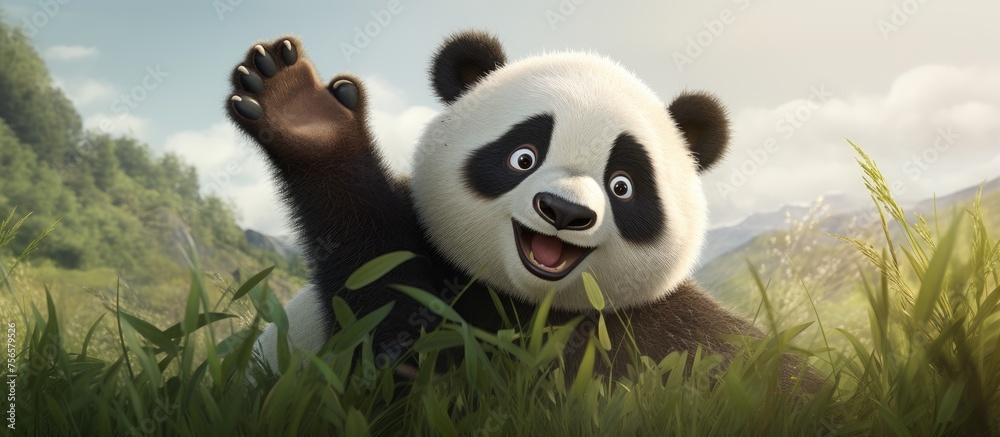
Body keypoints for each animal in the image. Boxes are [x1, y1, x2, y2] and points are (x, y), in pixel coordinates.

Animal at [226, 30, 818, 391]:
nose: (563, 211)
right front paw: (302, 112)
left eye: (623, 185)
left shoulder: (672, 333)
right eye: (523, 156)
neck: (534, 306)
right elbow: (388, 330)